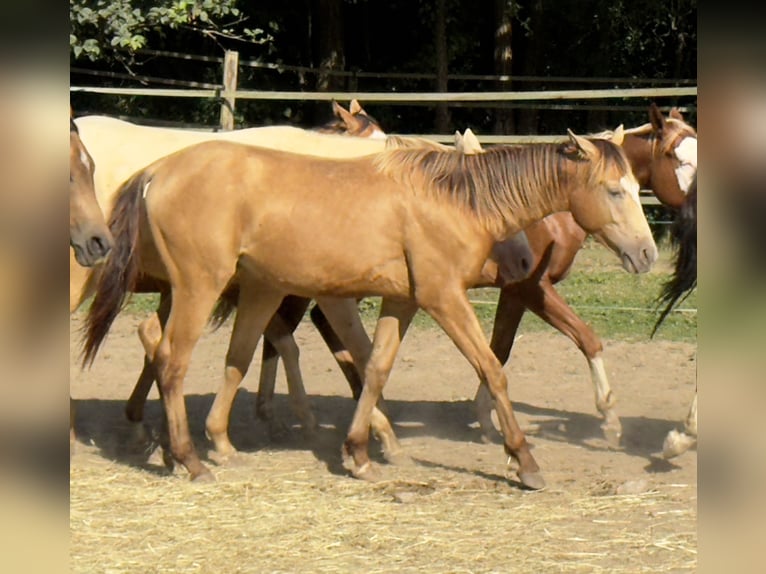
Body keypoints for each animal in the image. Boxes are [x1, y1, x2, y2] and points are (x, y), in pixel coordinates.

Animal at [81, 130, 656, 490]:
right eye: (613, 190)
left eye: (636, 188)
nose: (648, 253)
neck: (454, 199)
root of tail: (157, 171)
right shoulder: (444, 298)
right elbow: (493, 370)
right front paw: (524, 460)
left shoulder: (403, 300)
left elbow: (375, 368)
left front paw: (359, 454)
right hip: (200, 287)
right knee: (171, 360)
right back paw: (190, 460)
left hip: (242, 290)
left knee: (228, 358)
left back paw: (209, 446)